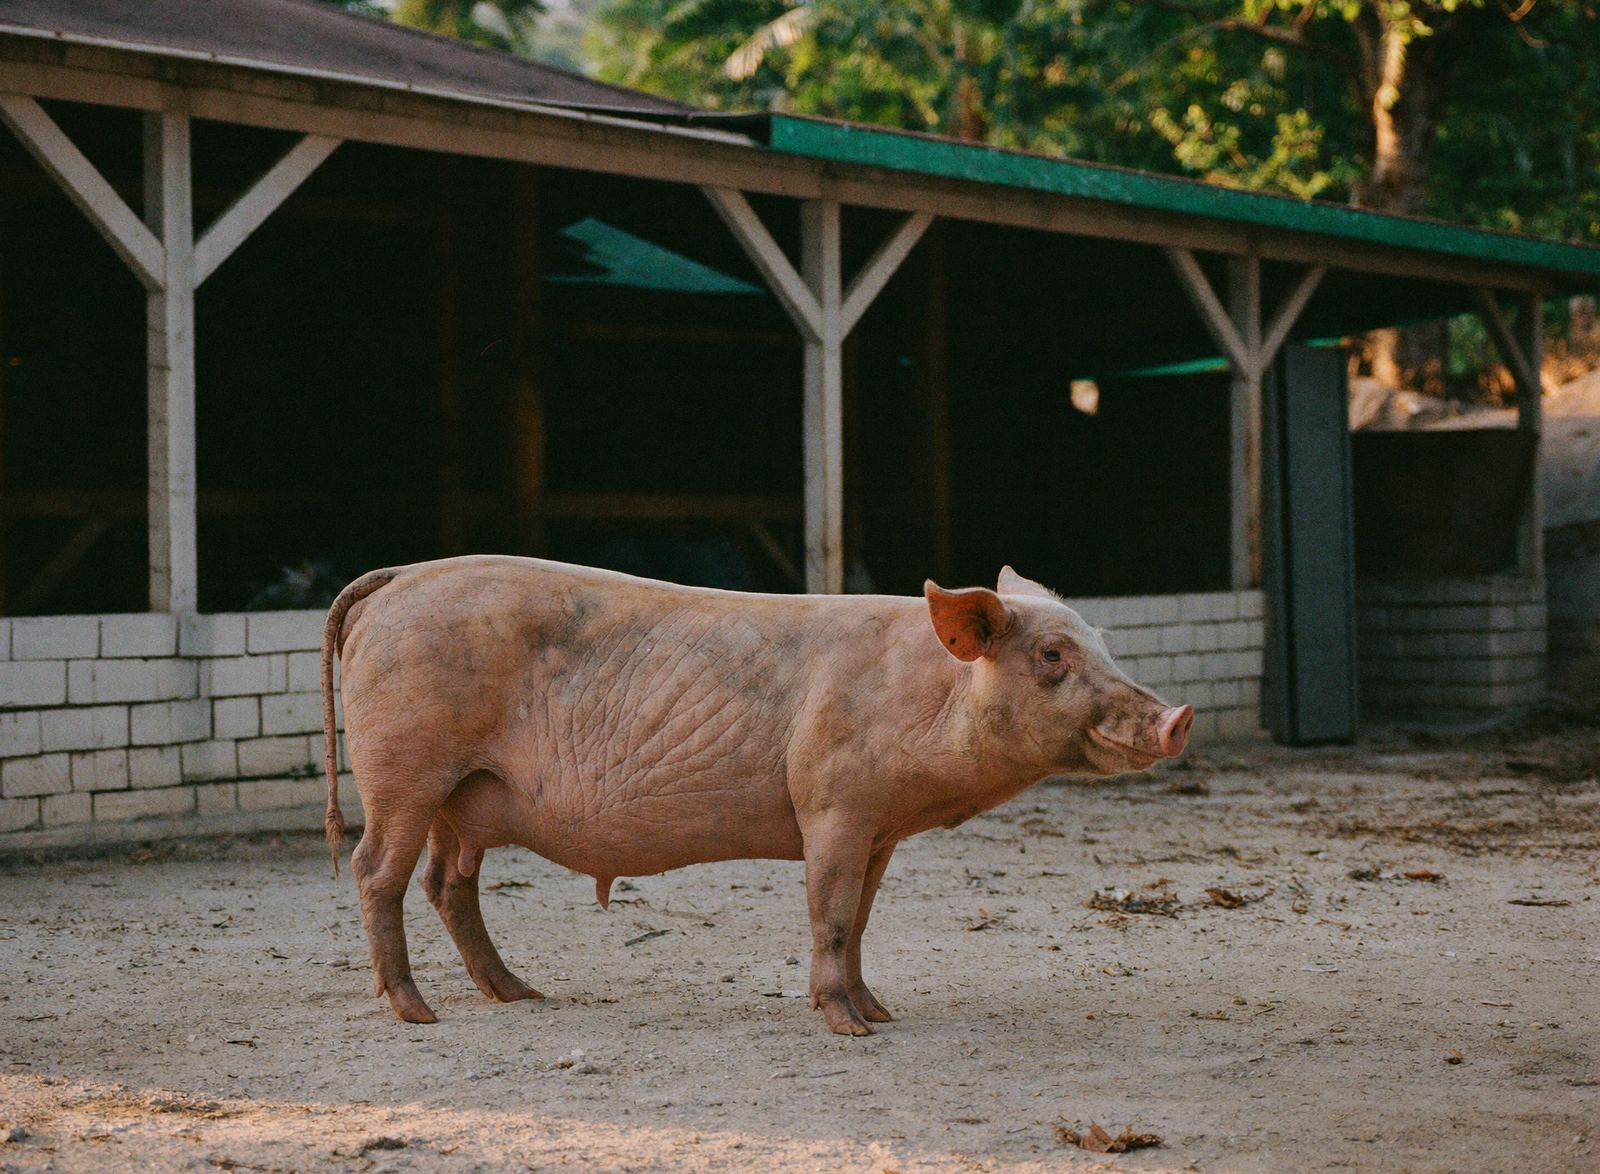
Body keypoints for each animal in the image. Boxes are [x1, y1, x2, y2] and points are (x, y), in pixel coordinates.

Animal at [321, 557, 1192, 1035]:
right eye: (1051, 655)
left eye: (1102, 644)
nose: (1177, 717)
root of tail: (396, 578)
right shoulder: (831, 805)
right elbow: (829, 913)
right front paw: (848, 1029)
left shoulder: (880, 830)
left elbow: (861, 918)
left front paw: (881, 1012)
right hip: (404, 767)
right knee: (376, 872)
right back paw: (416, 1012)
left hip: (462, 793)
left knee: (447, 883)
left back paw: (521, 994)